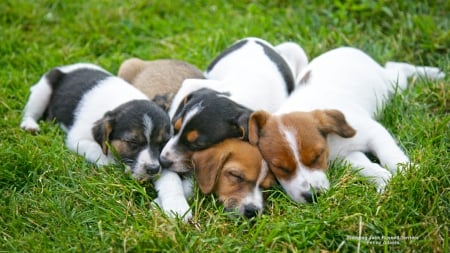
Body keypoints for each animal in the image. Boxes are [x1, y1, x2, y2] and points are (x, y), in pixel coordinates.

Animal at [18, 63, 172, 182]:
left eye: (164, 142)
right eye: (132, 142)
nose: (153, 169)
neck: (122, 101)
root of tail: (65, 67)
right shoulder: (77, 139)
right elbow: (100, 151)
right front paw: (115, 164)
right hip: (43, 90)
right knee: (29, 112)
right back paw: (30, 125)